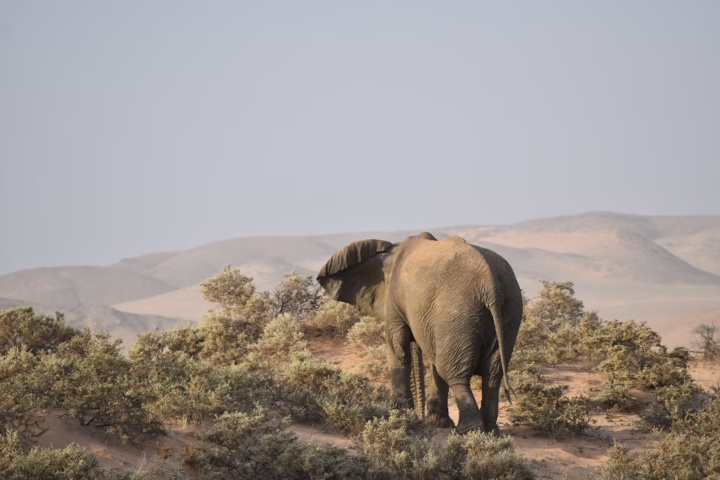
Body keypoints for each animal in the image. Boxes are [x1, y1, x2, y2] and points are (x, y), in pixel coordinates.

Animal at [316, 232, 523, 435]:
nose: (419, 415)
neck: (390, 252)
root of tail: (490, 285)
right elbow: (430, 359)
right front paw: (438, 422)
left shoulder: (396, 297)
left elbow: (398, 348)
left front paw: (401, 417)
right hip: (509, 311)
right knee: (491, 373)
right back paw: (491, 431)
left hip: (459, 311)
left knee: (454, 372)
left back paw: (468, 430)